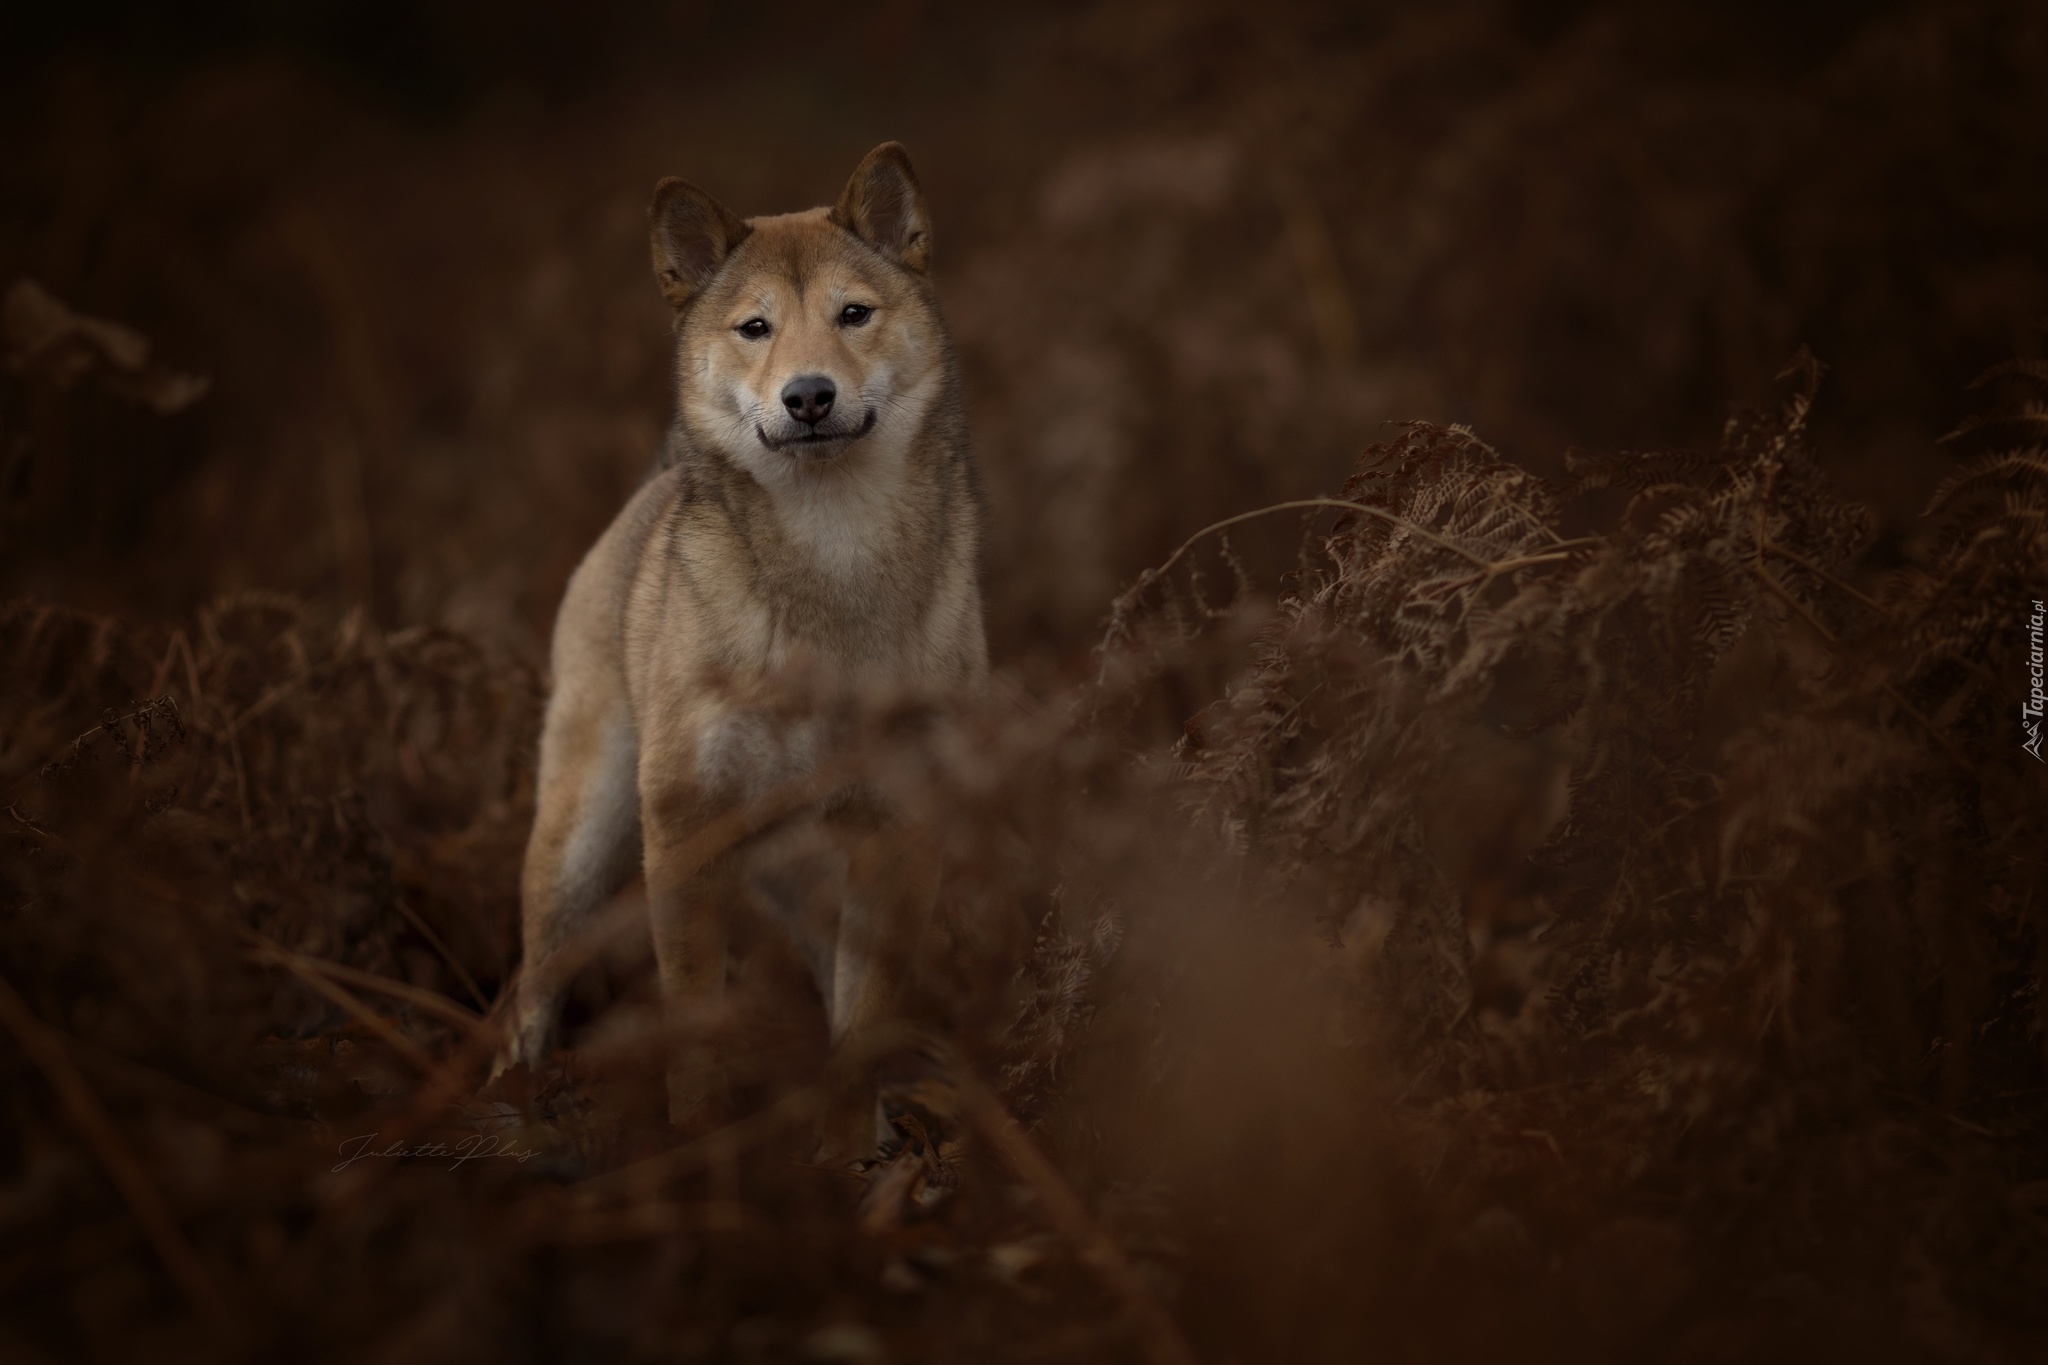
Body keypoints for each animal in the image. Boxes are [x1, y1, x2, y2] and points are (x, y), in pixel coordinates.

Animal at [487, 144, 983, 1137]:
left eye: (852, 314)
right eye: (756, 328)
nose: (809, 394)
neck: (834, 567)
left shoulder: (898, 825)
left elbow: (864, 1014)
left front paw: (853, 1147)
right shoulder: (684, 828)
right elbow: (693, 1009)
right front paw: (701, 1136)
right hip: (580, 842)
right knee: (533, 981)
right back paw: (511, 1099)